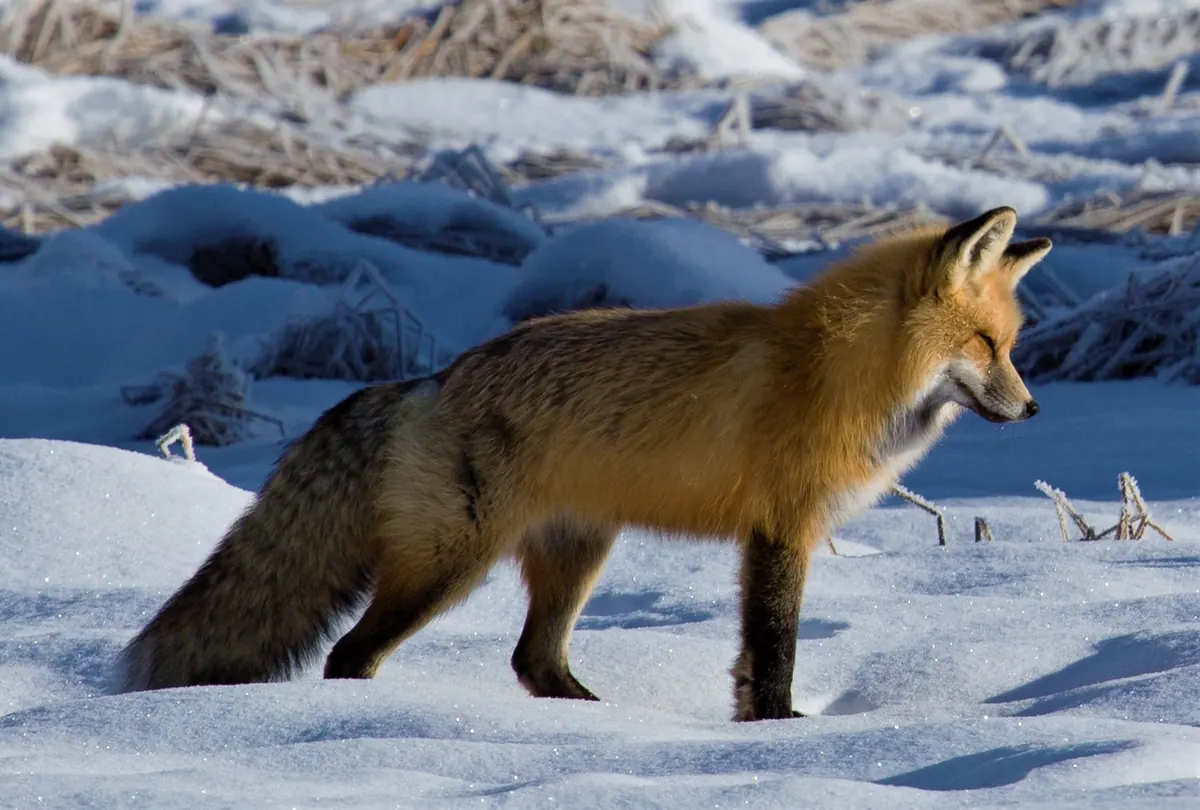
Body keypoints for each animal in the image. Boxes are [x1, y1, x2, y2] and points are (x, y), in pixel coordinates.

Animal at [114, 206, 1049, 721]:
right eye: (987, 344)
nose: (1035, 410)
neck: (833, 374)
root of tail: (432, 379)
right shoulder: (781, 530)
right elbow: (774, 648)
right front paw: (783, 732)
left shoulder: (770, 534)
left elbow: (753, 659)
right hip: (449, 565)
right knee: (351, 653)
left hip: (576, 554)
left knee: (534, 661)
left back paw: (593, 725)